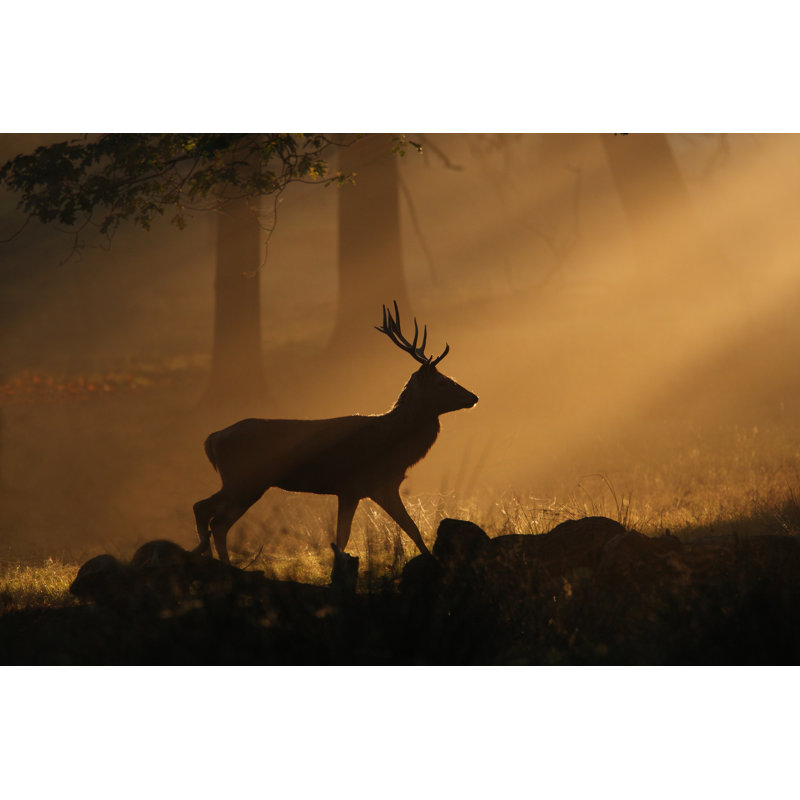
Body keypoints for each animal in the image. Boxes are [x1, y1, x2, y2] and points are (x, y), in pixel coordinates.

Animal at [192, 302, 478, 564]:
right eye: (443, 381)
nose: (474, 397)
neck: (392, 444)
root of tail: (212, 439)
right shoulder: (362, 485)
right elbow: (363, 535)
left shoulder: (369, 488)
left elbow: (404, 530)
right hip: (244, 479)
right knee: (208, 514)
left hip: (245, 482)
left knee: (212, 517)